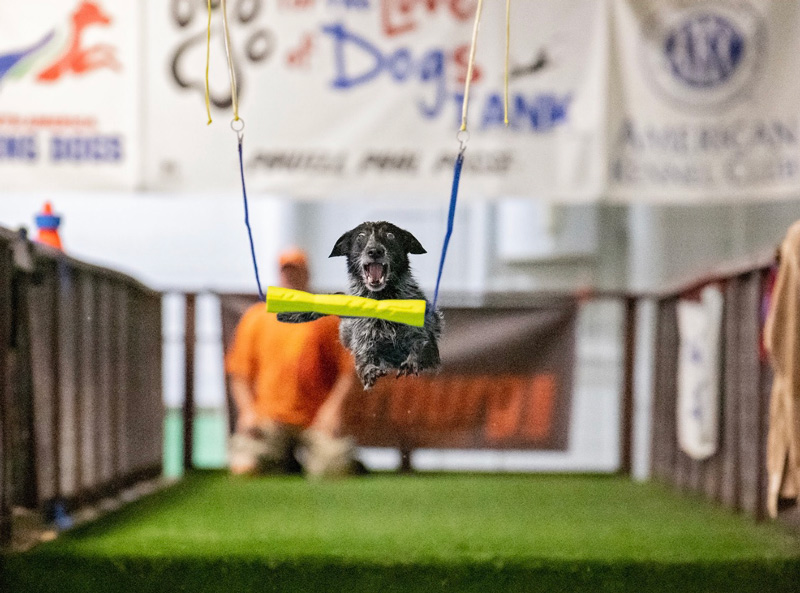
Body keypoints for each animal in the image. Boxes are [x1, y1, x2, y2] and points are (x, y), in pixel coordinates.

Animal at [278, 222, 444, 388]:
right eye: (360, 236)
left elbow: (421, 346)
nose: (375, 251)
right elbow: (365, 359)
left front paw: (411, 362)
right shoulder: (364, 341)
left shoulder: (423, 338)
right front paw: (370, 370)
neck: (381, 301)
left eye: (390, 235)